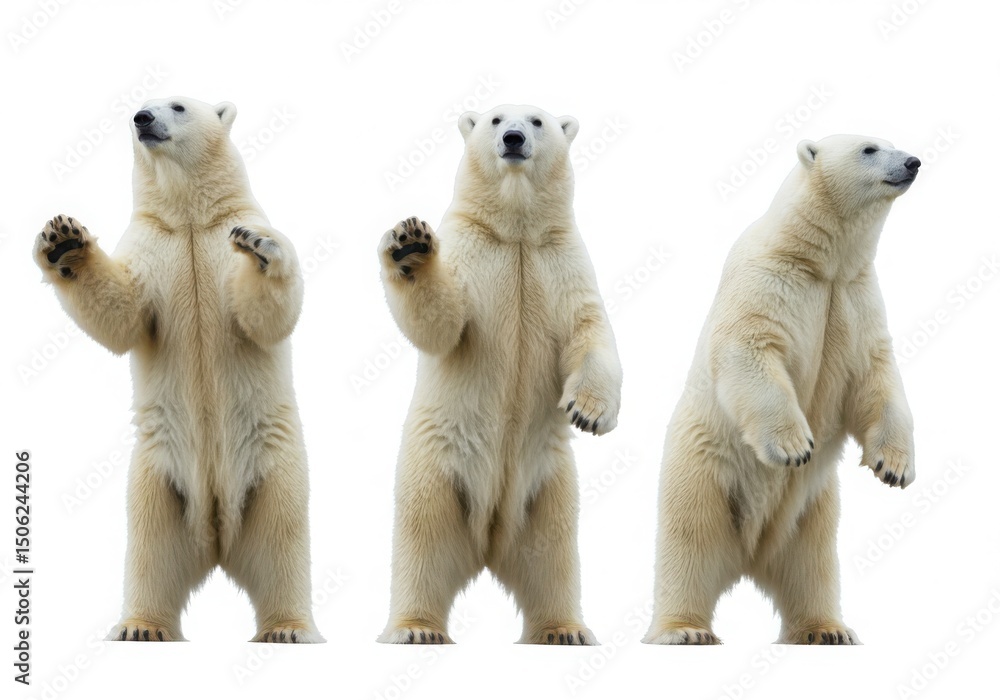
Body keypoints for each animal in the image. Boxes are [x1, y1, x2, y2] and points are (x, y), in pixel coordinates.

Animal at [32, 97, 322, 643]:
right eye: (138, 108)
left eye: (178, 106)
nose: (143, 119)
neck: (189, 218)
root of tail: (217, 540)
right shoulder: (152, 245)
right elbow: (123, 313)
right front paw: (62, 240)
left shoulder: (220, 237)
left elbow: (263, 318)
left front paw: (260, 247)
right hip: (158, 478)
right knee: (151, 550)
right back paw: (139, 626)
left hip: (274, 470)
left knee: (281, 542)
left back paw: (288, 628)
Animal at [376, 104, 622, 645]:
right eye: (494, 119)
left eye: (536, 120)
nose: (512, 138)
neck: (516, 235)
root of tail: (489, 542)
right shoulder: (472, 253)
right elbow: (445, 325)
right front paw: (409, 244)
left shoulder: (561, 261)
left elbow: (590, 332)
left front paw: (589, 412)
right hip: (435, 470)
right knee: (422, 544)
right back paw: (415, 628)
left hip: (547, 486)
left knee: (554, 558)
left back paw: (564, 630)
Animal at [643, 134, 921, 645]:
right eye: (870, 148)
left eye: (893, 143)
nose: (913, 161)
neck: (820, 262)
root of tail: (751, 555)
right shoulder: (769, 278)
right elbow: (749, 347)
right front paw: (794, 446)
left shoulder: (855, 296)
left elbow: (875, 375)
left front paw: (894, 466)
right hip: (704, 471)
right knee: (689, 543)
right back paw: (684, 630)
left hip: (810, 507)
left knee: (812, 563)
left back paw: (827, 630)